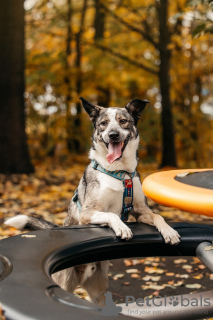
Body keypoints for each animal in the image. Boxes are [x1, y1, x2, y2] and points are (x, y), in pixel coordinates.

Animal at [5, 97, 180, 304]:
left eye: (123, 121)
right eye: (103, 123)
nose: (113, 135)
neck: (120, 172)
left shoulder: (140, 210)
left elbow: (158, 216)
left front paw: (169, 232)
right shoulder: (87, 213)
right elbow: (112, 216)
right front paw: (122, 228)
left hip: (100, 290)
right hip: (65, 282)